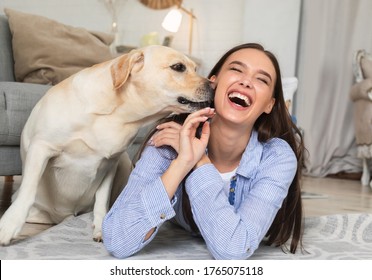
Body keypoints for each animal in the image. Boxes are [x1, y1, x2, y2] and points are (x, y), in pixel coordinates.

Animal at [0, 44, 214, 244]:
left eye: (195, 68)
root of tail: (65, 216)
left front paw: (100, 228)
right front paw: (9, 225)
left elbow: (101, 200)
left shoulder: (111, 161)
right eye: (178, 67)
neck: (117, 114)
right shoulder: (41, 147)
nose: (213, 86)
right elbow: (28, 191)